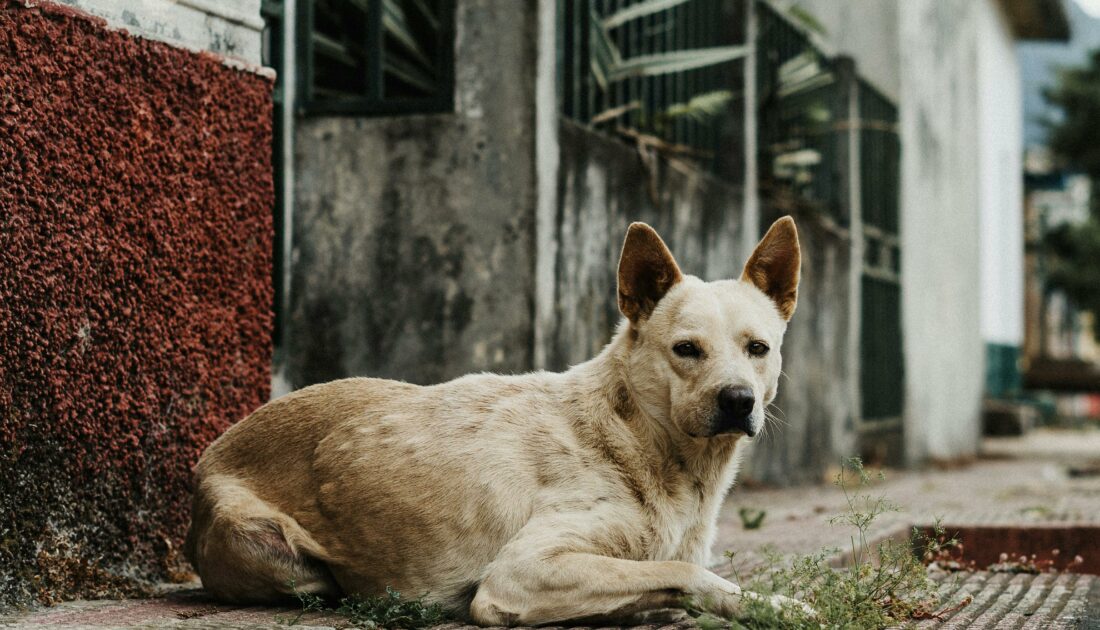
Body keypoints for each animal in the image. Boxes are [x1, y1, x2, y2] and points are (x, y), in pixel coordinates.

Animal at [184, 217, 805, 624]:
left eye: (757, 348)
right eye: (686, 349)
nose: (738, 401)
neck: (641, 441)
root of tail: (211, 453)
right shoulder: (523, 571)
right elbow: (683, 575)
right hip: (277, 553)